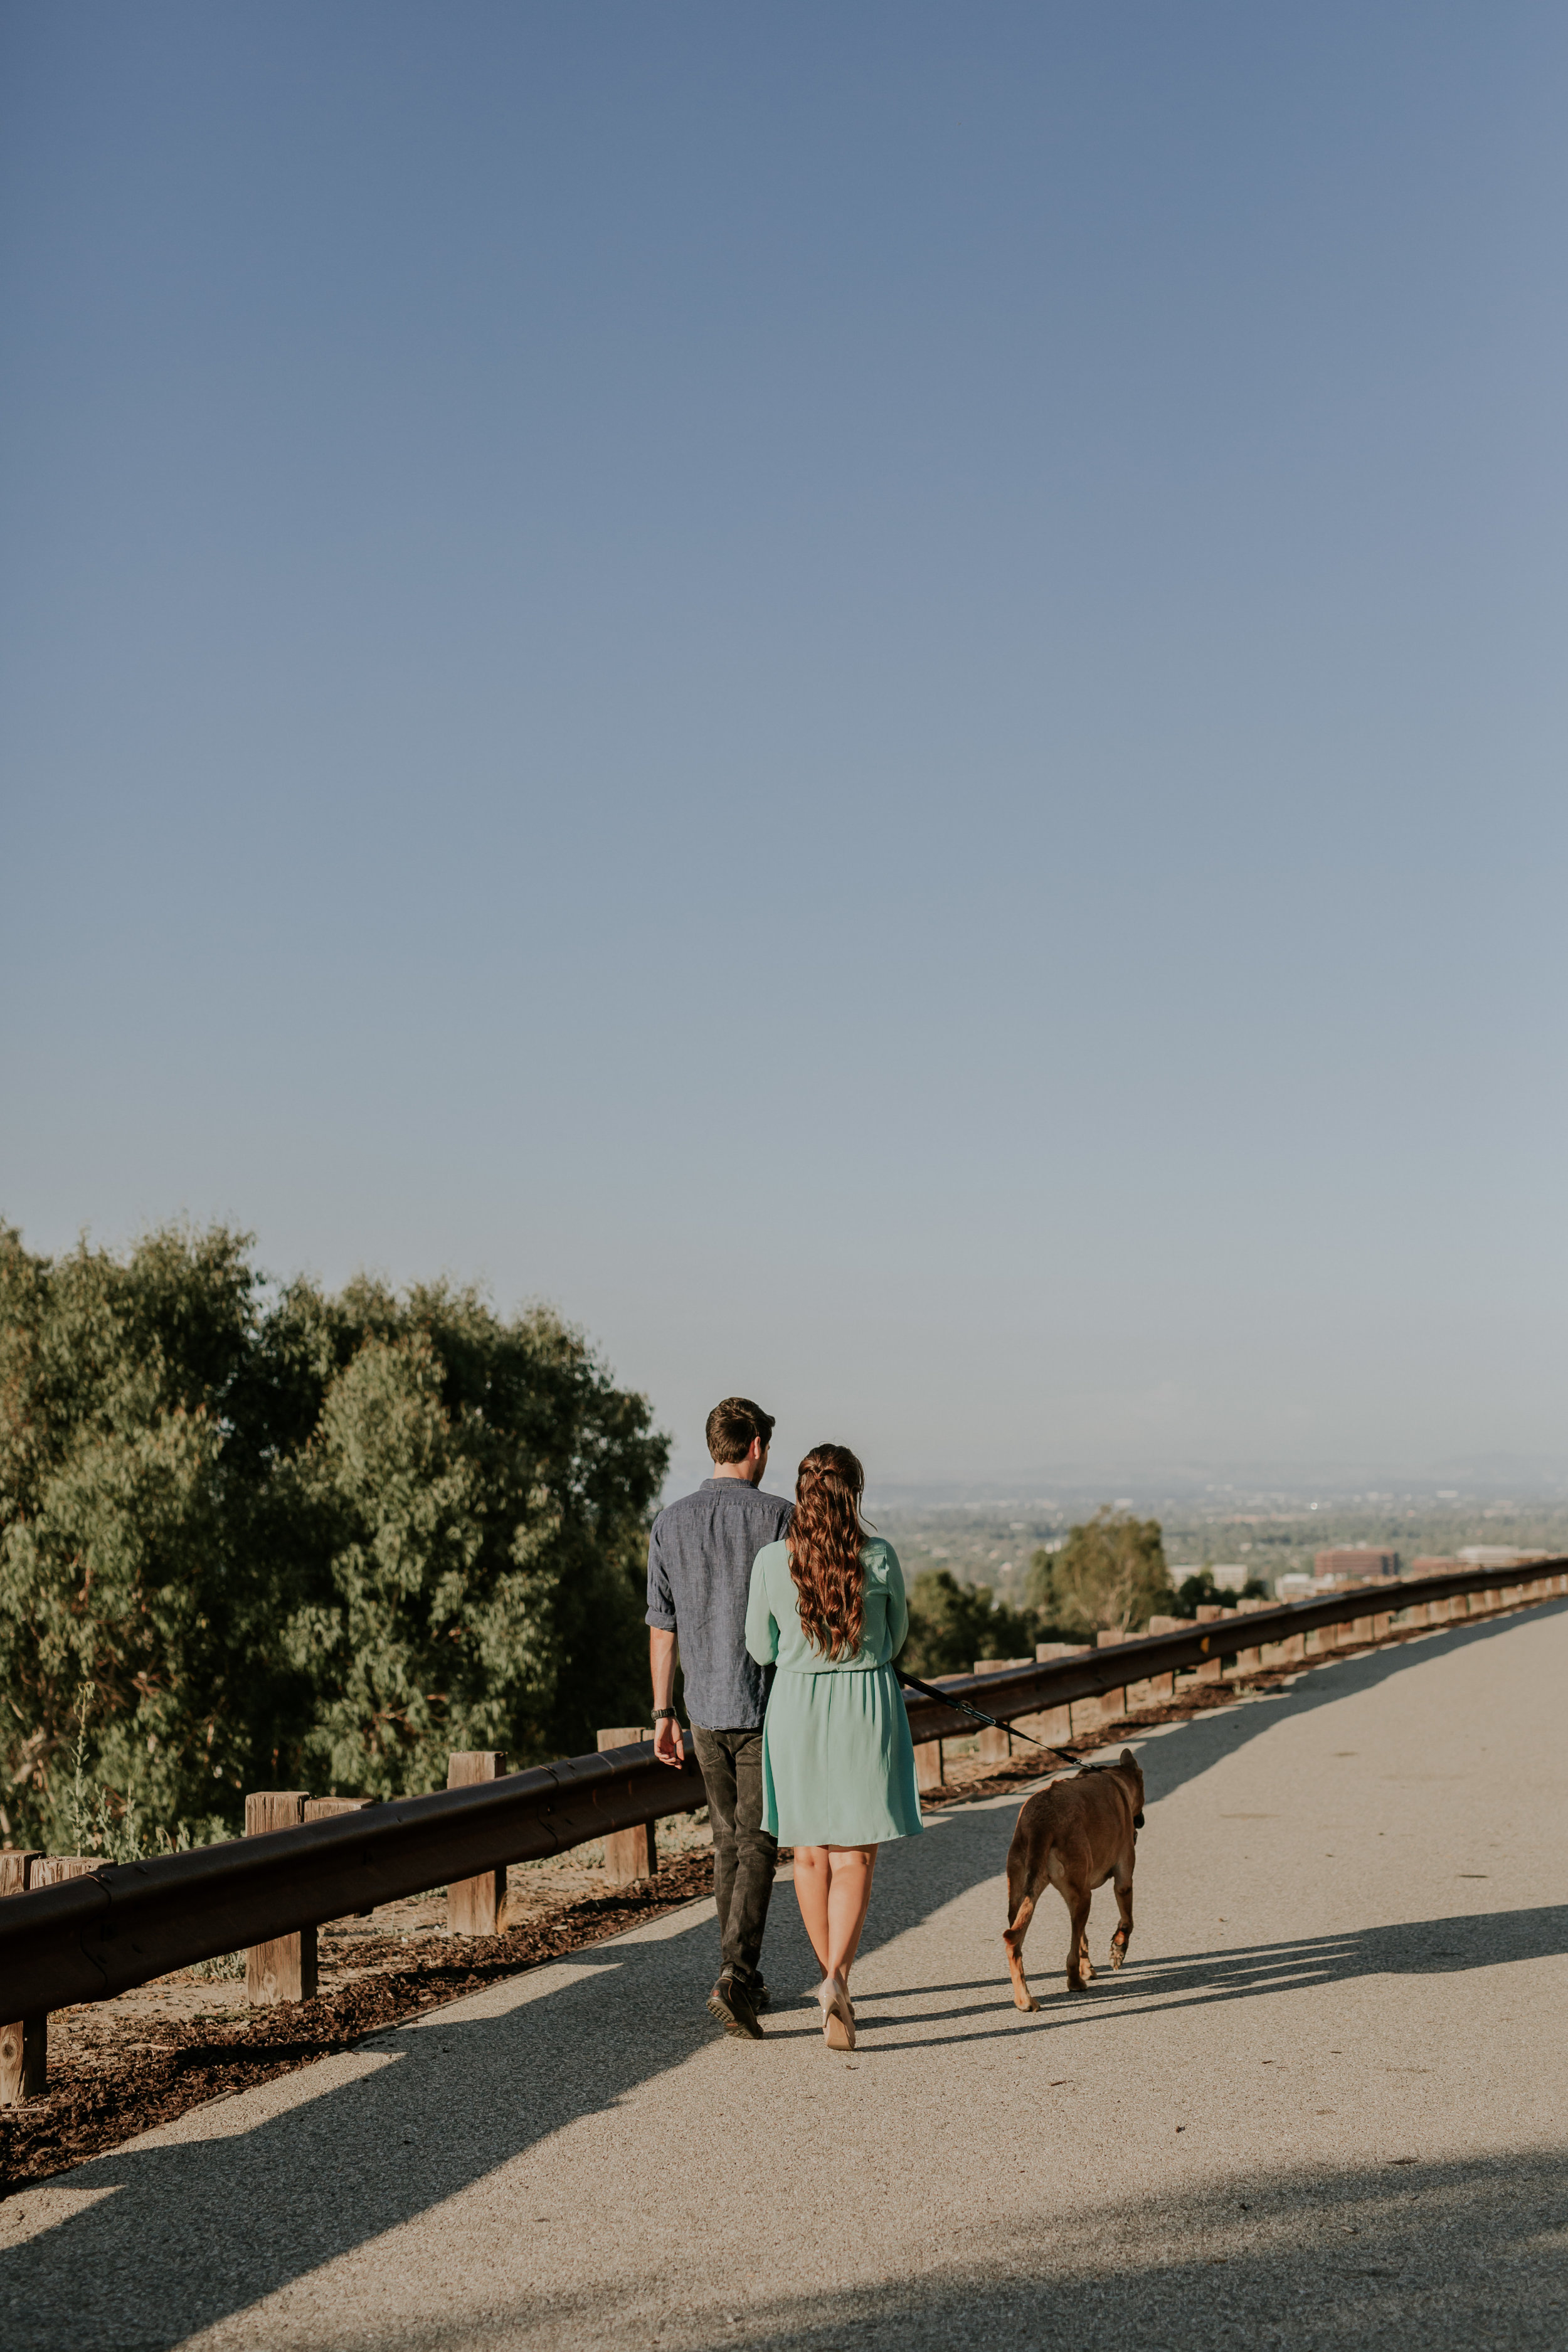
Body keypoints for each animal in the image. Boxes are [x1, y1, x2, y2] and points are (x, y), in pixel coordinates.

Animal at [1001, 1740, 1147, 2013]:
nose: (1140, 1822)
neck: (1113, 1778)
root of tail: (1041, 1822)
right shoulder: (1123, 1879)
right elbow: (1127, 1922)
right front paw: (1118, 1950)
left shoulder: (1074, 1894)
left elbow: (1081, 1939)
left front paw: (1088, 1966)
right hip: (1083, 1896)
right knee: (1067, 1956)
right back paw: (1075, 1982)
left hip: (1022, 1894)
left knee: (1014, 1939)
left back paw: (1024, 1999)